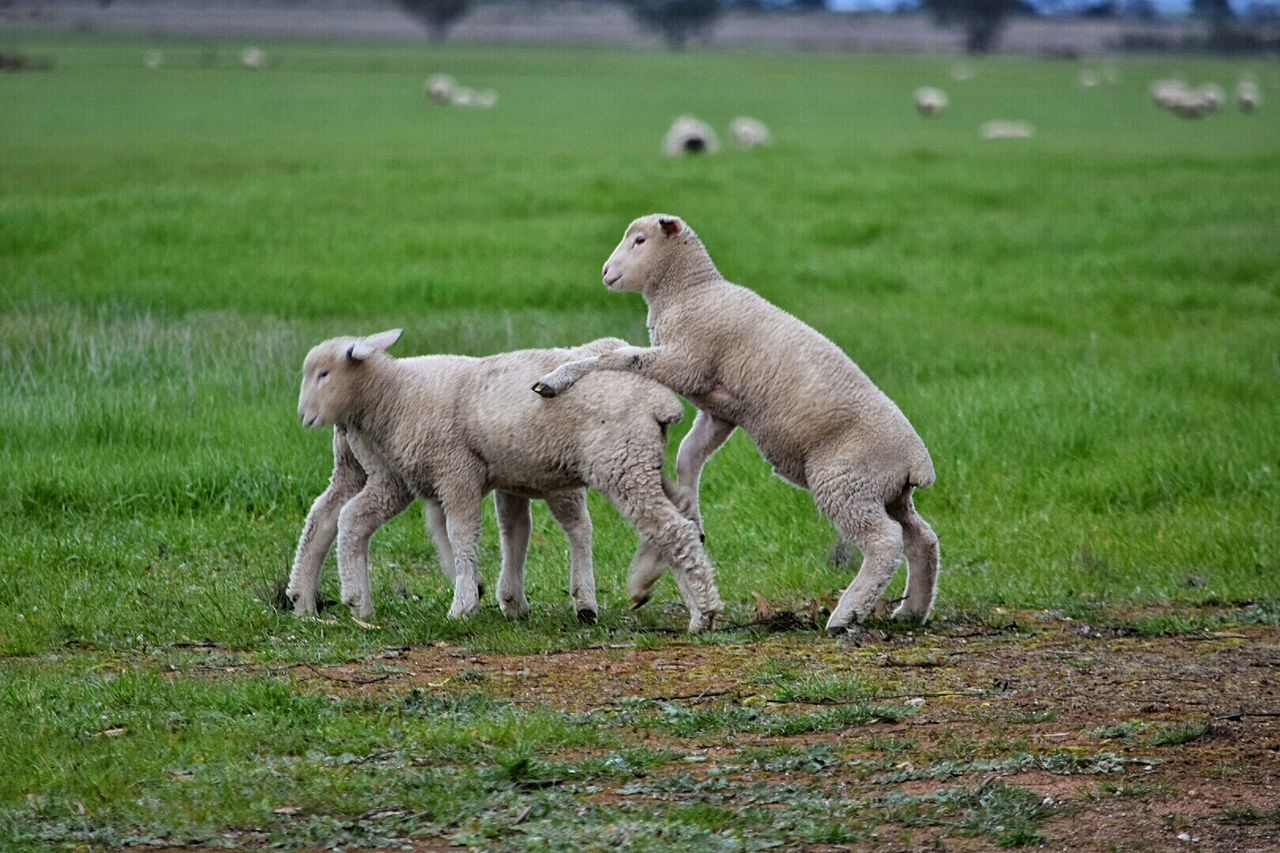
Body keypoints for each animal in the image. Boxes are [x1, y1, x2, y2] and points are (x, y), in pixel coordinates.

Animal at [529, 216, 942, 635]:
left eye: (640, 240)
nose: (605, 272)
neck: (691, 291)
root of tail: (916, 463)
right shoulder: (721, 408)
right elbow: (689, 455)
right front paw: (689, 515)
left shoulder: (688, 363)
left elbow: (620, 355)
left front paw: (557, 379)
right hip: (885, 492)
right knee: (922, 538)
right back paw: (912, 610)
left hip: (845, 482)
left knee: (886, 542)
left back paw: (847, 614)